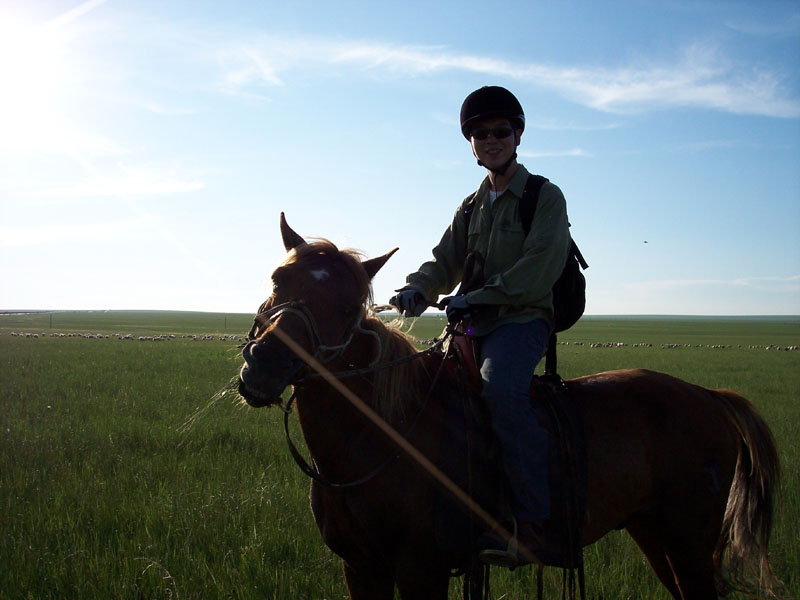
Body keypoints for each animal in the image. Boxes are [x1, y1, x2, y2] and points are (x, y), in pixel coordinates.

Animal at [236, 213, 780, 596]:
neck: (381, 435)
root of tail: (709, 397)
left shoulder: (421, 569)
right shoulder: (361, 568)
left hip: (689, 542)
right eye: (277, 281)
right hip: (656, 536)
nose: (264, 365)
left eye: (350, 306)